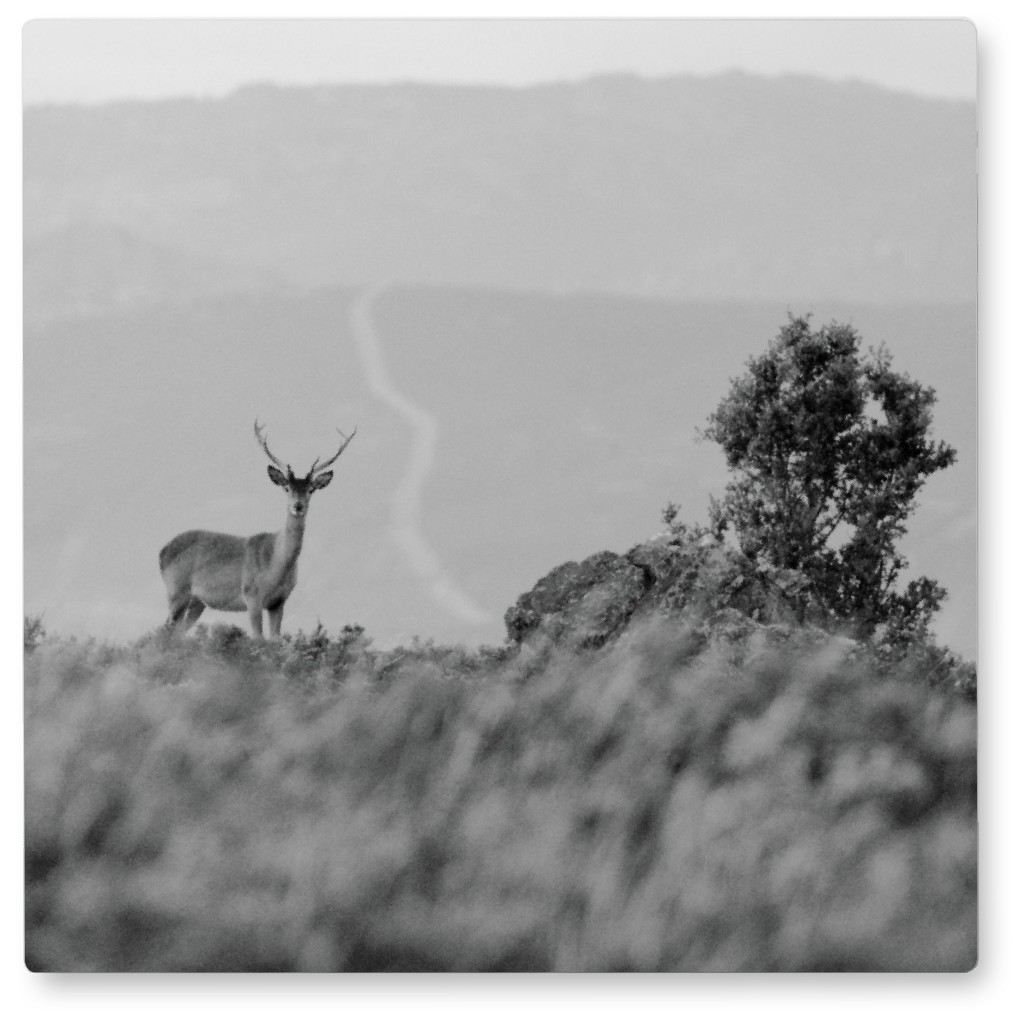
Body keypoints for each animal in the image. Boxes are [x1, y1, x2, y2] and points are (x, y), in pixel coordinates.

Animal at [159, 420, 356, 638]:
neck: (275, 564)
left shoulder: (279, 601)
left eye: (310, 490)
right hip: (176, 590)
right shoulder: (251, 595)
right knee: (165, 631)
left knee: (177, 634)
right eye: (286, 488)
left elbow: (274, 639)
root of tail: (162, 552)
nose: (297, 506)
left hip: (197, 602)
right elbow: (258, 638)